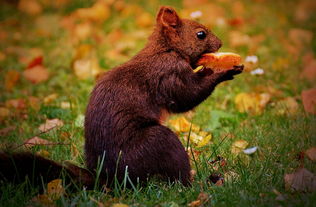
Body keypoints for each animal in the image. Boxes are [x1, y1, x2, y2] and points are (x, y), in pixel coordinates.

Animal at [0, 6, 243, 188]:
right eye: (200, 34)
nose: (220, 44)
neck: (166, 50)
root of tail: (109, 179)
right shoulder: (167, 74)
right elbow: (186, 97)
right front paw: (220, 71)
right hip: (157, 143)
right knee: (175, 175)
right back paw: (198, 184)